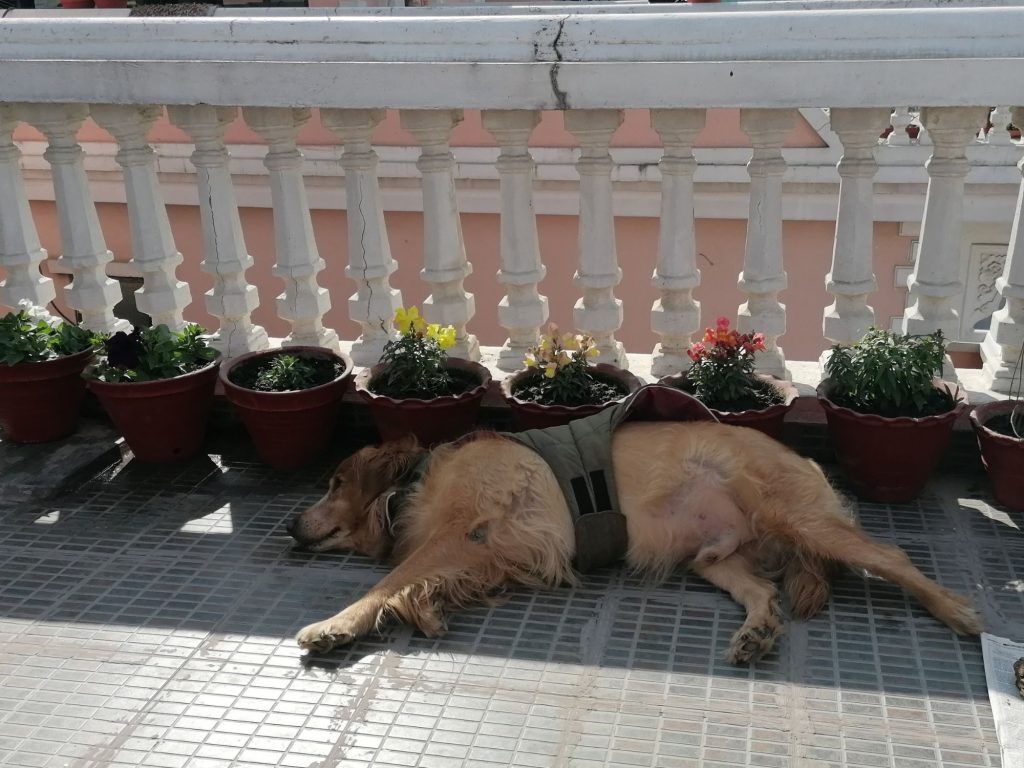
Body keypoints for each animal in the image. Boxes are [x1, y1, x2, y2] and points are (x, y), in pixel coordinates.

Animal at [289, 407, 982, 664]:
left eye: (333, 481)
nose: (291, 526)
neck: (416, 482)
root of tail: (806, 458)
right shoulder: (496, 557)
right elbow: (422, 582)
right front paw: (427, 609)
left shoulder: (472, 530)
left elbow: (390, 579)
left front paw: (337, 624)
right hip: (715, 559)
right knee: (765, 592)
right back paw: (756, 633)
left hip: (801, 518)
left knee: (892, 555)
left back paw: (957, 610)